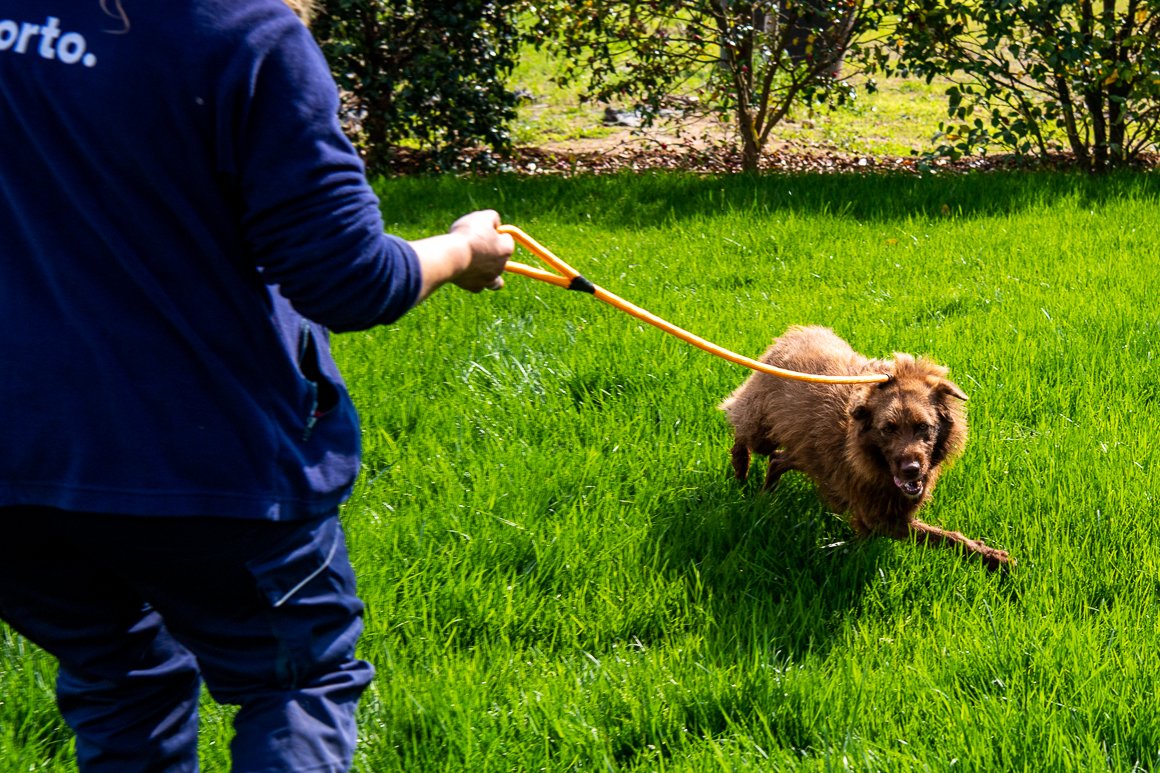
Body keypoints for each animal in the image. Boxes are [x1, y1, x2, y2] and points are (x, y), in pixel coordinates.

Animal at [720, 325, 1011, 571]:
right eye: (888, 429)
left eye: (923, 427)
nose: (911, 470)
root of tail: (796, 333)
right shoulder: (881, 516)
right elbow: (943, 537)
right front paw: (991, 557)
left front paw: (989, 555)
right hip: (761, 424)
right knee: (740, 425)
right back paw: (740, 468)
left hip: (807, 451)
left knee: (777, 459)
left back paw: (767, 494)